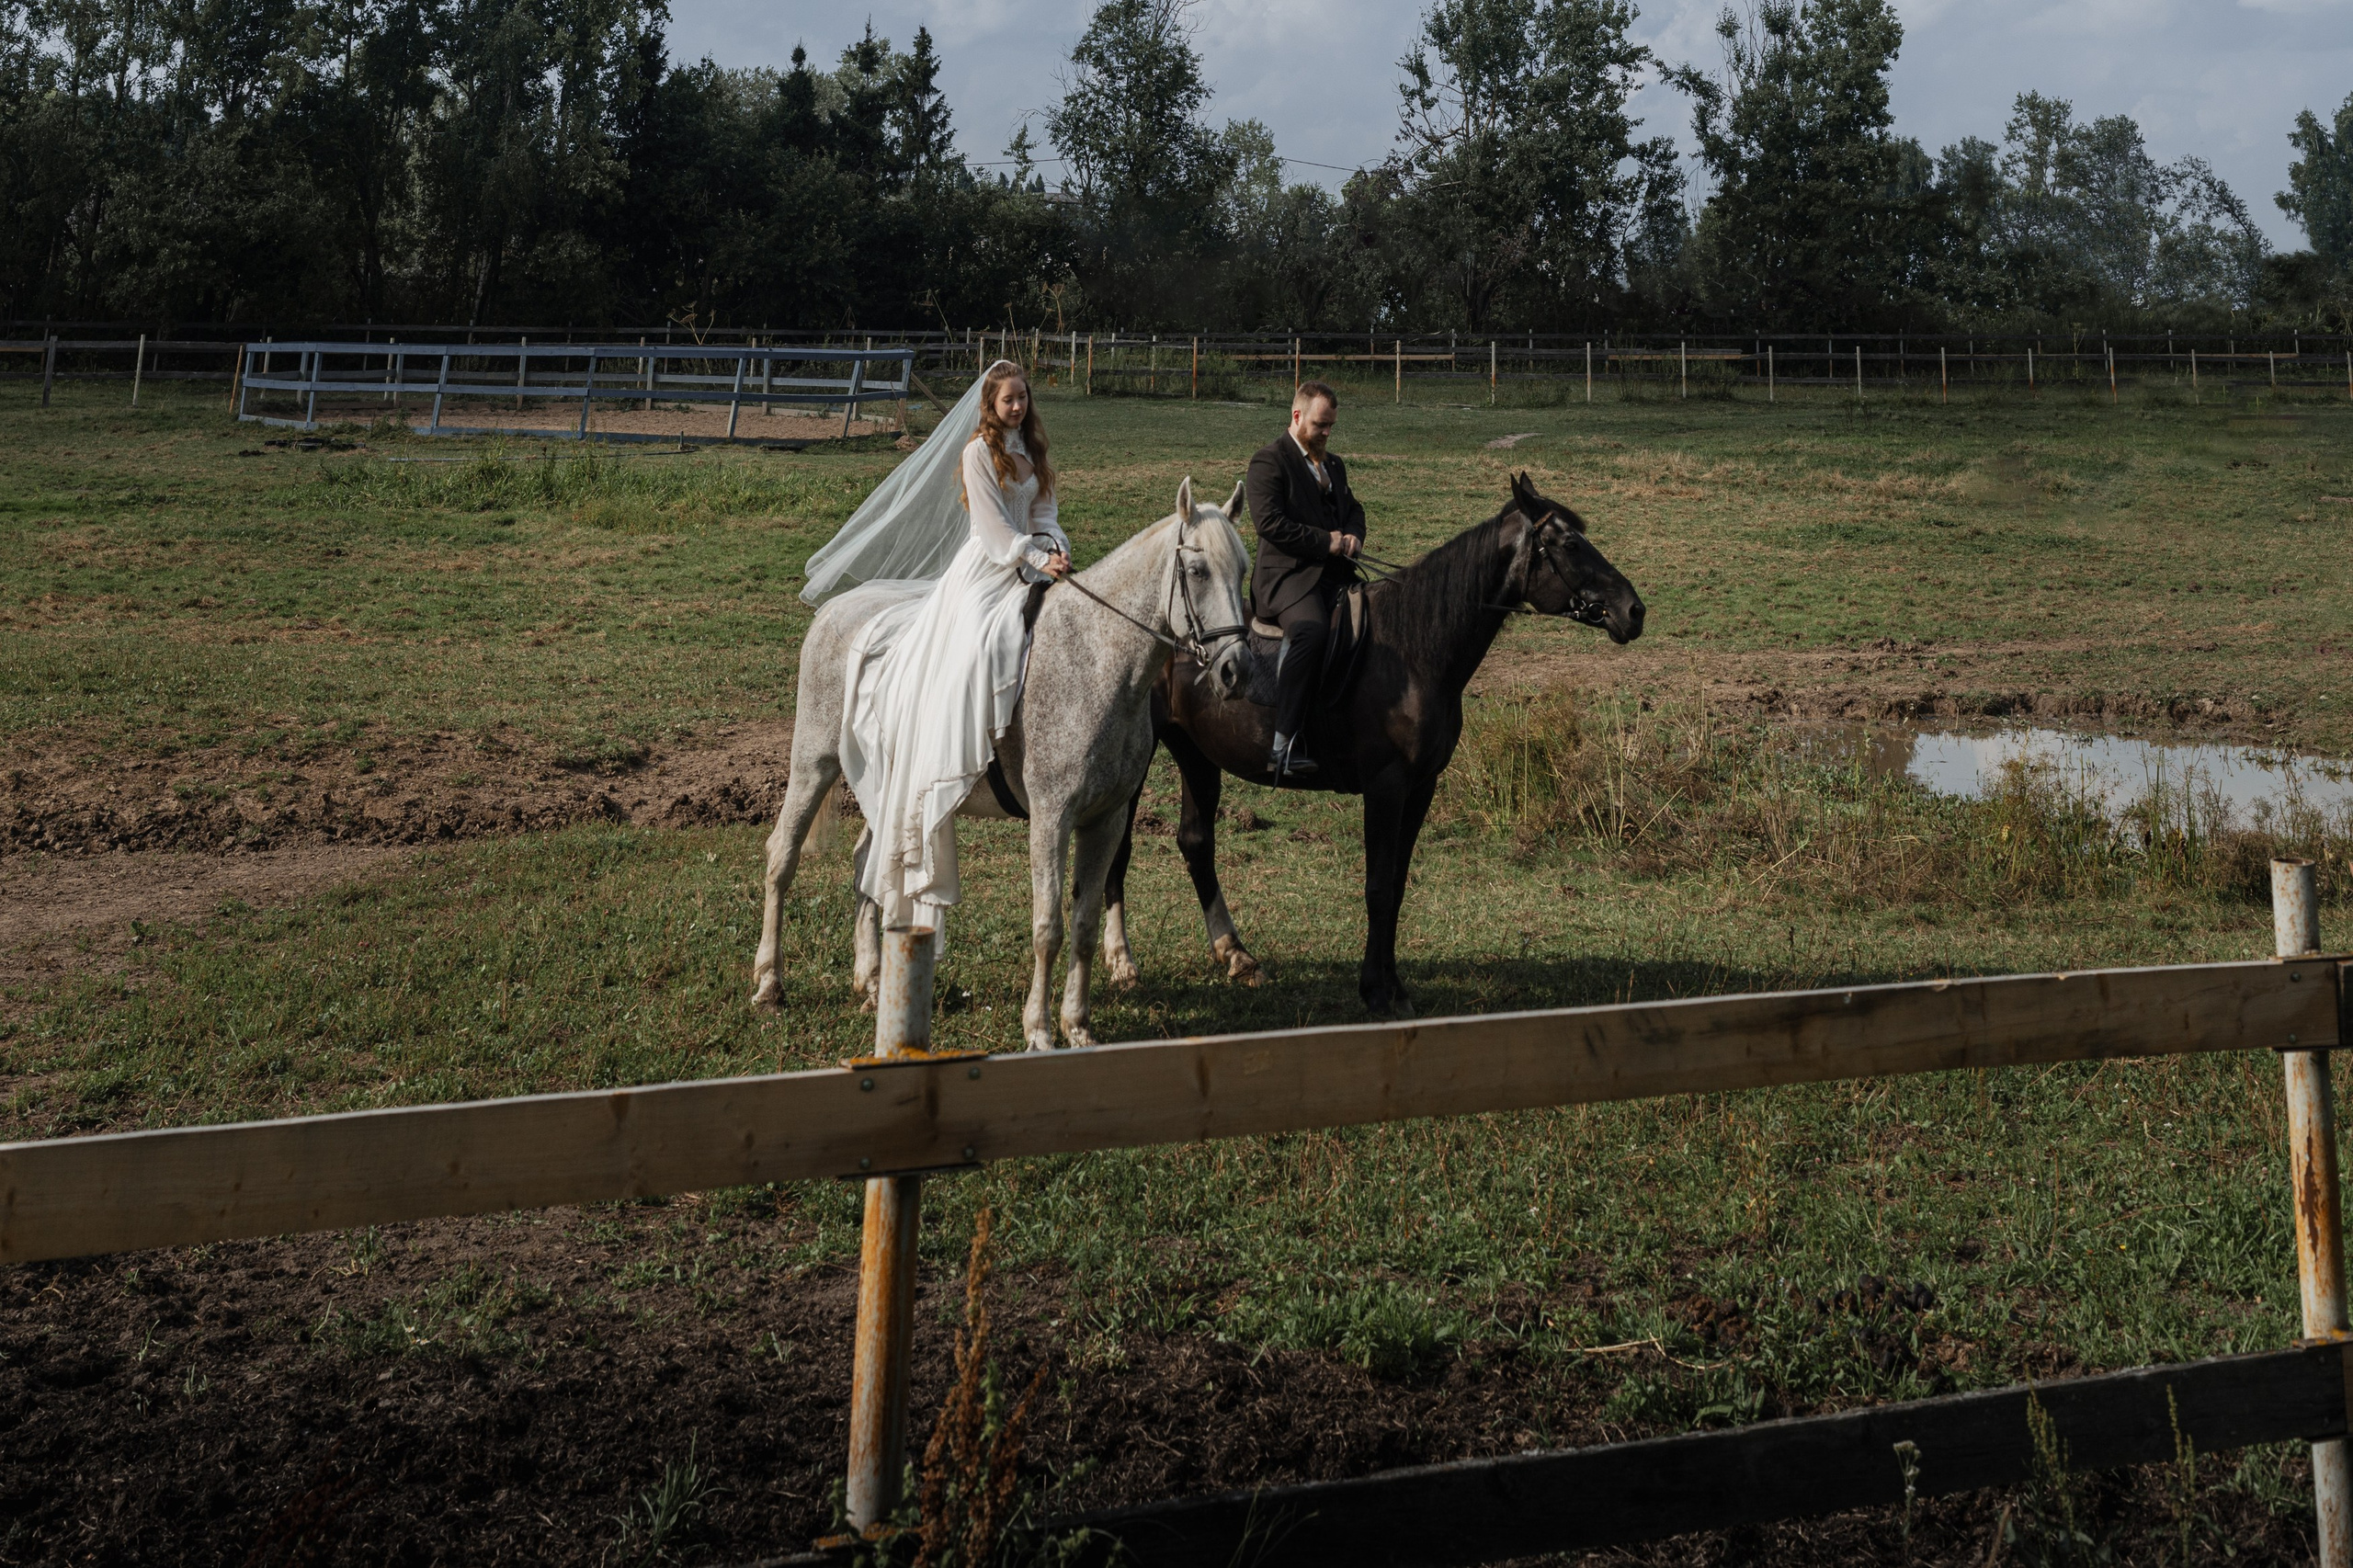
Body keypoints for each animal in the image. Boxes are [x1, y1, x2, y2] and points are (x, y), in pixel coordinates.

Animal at [752, 478, 1253, 1050]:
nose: (1237, 670)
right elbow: (1048, 927)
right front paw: (1038, 1030)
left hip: (888, 787)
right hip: (814, 764)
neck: (1095, 656)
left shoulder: (1105, 820)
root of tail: (834, 609)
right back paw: (770, 983)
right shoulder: (1051, 819)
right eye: (1197, 571)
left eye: (1243, 571)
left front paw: (1077, 1025)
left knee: (866, 864)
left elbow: (1083, 925)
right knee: (782, 856)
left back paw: (873, 980)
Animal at [1100, 472, 1645, 1015]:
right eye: (1570, 543)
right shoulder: (1386, 786)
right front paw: (1376, 992)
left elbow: (1398, 884)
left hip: (1196, 753)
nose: (1633, 611)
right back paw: (1123, 964)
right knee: (1119, 848)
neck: (1415, 649)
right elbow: (1379, 886)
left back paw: (1236, 955)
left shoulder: (1421, 786)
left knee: (1196, 842)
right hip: (1140, 758)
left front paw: (1394, 985)